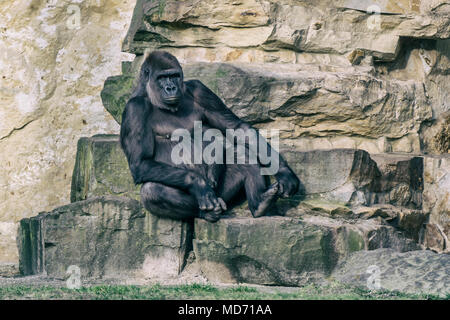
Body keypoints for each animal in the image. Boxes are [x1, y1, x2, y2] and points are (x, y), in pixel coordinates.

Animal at [121, 52, 300, 222]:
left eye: (174, 75)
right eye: (161, 78)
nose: (171, 87)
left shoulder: (199, 90)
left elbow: (237, 129)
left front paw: (285, 173)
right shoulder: (134, 110)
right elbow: (140, 163)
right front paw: (198, 183)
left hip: (223, 192)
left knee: (242, 153)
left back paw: (259, 202)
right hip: (212, 198)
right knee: (152, 190)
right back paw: (208, 212)